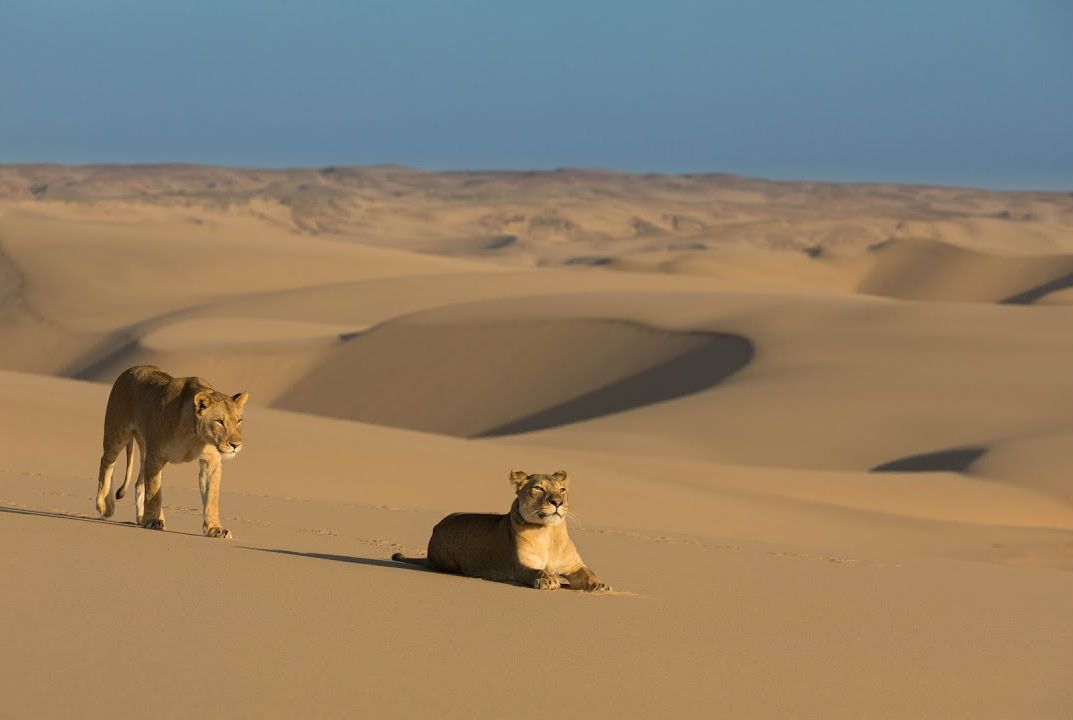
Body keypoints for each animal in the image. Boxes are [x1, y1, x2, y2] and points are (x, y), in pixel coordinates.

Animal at [94, 365, 247, 538]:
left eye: (239, 421)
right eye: (219, 421)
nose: (236, 445)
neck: (194, 436)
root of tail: (131, 369)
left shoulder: (211, 462)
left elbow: (212, 497)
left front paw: (215, 529)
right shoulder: (156, 456)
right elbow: (154, 491)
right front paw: (153, 521)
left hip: (144, 450)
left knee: (139, 483)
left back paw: (141, 517)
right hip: (117, 432)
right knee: (107, 462)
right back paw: (105, 506)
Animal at [392, 470, 611, 591]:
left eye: (562, 490)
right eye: (538, 488)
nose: (557, 502)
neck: (548, 533)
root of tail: (436, 527)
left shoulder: (574, 565)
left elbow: (589, 572)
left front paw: (601, 585)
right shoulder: (521, 566)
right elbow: (537, 571)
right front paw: (548, 579)